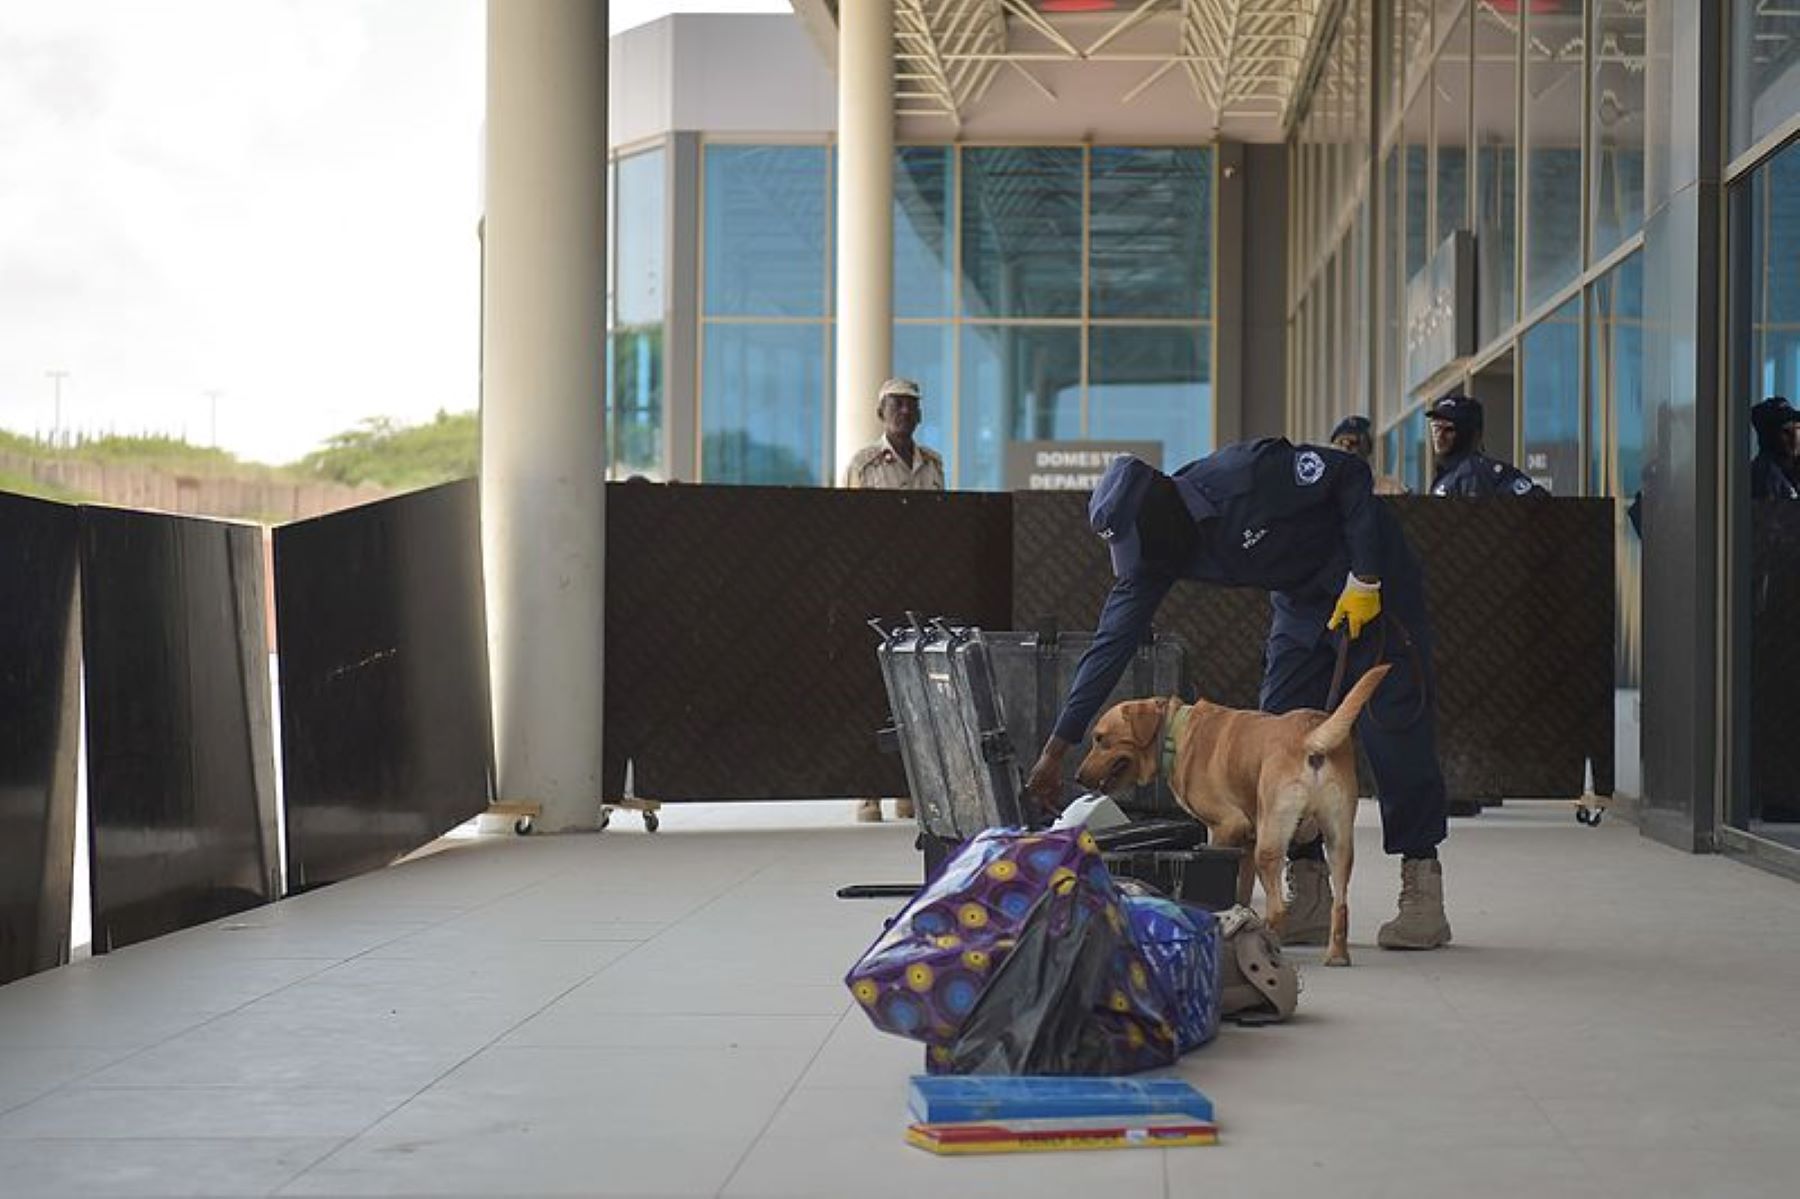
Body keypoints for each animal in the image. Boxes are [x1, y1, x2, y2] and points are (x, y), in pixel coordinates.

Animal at [1072, 662, 1382, 964]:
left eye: (1101, 739)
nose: (1077, 777)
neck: (1175, 735)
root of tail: (1311, 736)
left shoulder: (1226, 827)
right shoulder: (1247, 841)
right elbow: (1241, 892)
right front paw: (1240, 918)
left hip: (1270, 846)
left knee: (1278, 908)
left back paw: (1270, 943)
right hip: (1338, 841)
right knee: (1340, 905)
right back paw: (1336, 955)